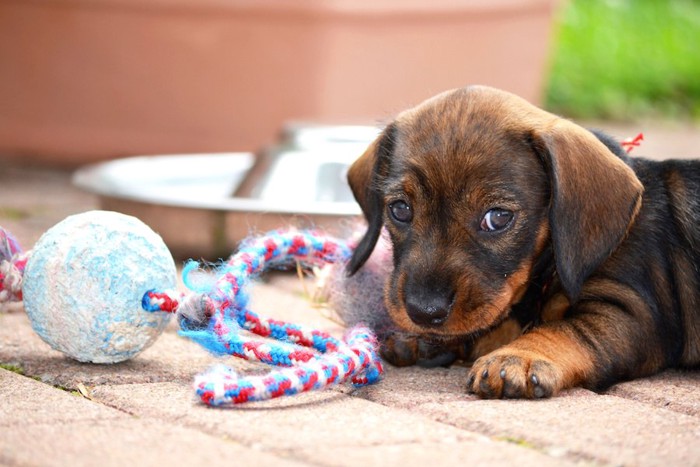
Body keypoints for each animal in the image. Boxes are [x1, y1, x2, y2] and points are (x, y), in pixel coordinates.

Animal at [348, 86, 700, 400]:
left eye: (497, 217)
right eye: (400, 209)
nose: (424, 312)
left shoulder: (633, 312)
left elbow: (565, 329)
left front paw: (519, 357)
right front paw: (429, 341)